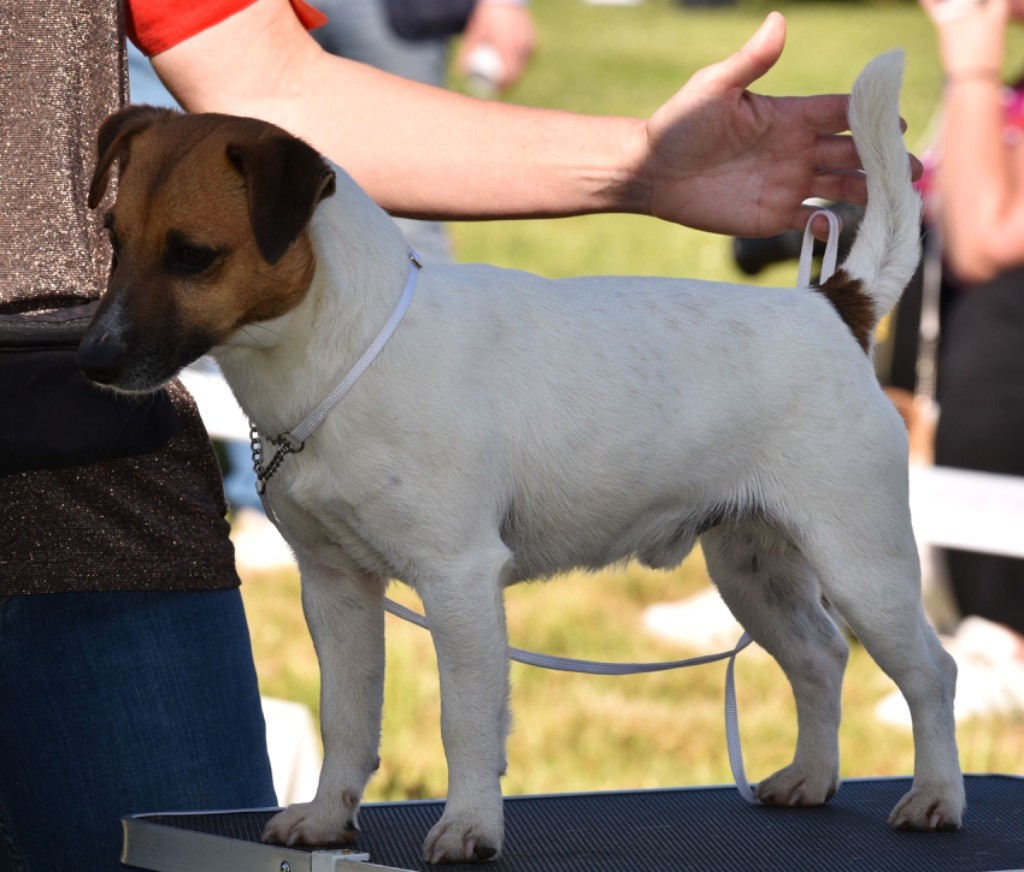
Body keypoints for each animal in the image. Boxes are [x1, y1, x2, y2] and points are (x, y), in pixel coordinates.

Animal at [81, 51, 966, 863]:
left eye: (193, 255)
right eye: (114, 240)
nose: (91, 359)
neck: (349, 350)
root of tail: (831, 307)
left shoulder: (460, 581)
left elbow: (466, 721)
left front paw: (469, 827)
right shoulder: (336, 587)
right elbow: (348, 717)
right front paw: (329, 819)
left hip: (863, 565)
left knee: (931, 674)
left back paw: (935, 795)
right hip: (754, 568)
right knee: (819, 658)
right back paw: (811, 777)